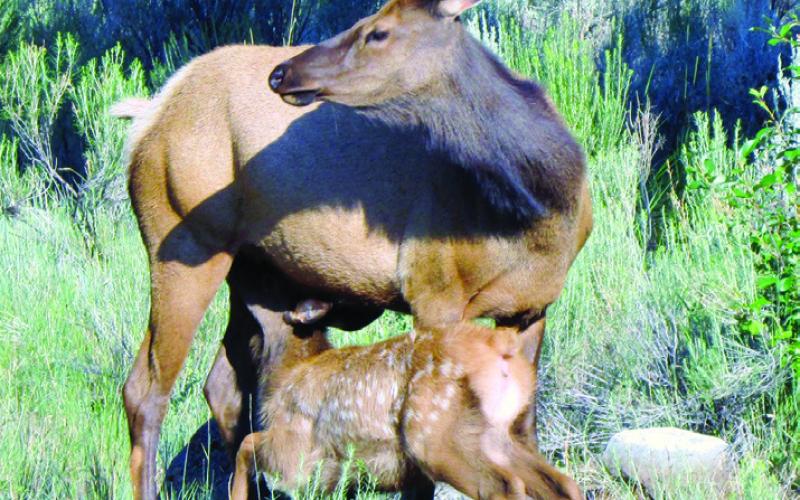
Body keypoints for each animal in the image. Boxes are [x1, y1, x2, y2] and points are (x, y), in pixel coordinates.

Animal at [230, 302, 583, 500]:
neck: (288, 370)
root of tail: (503, 350)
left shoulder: (297, 449)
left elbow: (247, 444)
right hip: (502, 436)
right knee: (562, 485)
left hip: (434, 435)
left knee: (503, 487)